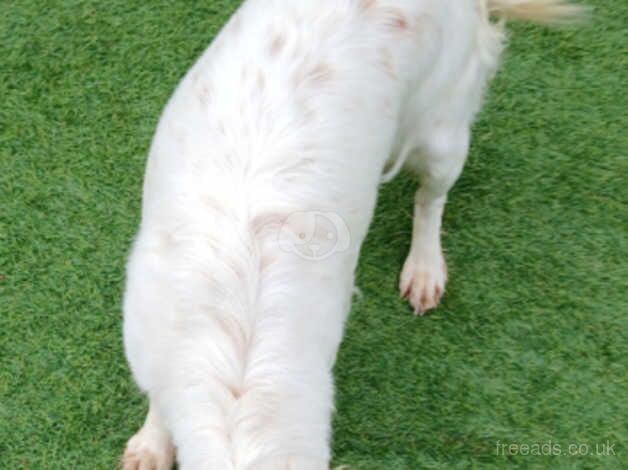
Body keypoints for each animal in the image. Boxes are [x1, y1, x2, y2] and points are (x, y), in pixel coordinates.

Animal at [120, 1, 580, 468]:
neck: (238, 373)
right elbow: (159, 401)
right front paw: (152, 444)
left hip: (441, 135)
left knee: (431, 200)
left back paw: (425, 268)